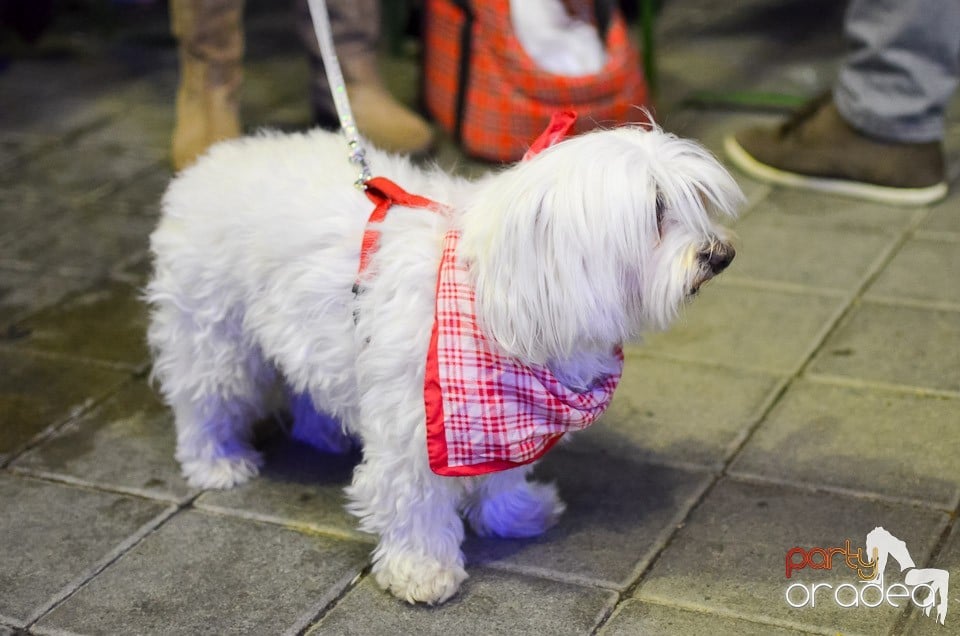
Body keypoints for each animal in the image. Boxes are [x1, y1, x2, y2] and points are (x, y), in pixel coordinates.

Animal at [146, 123, 744, 608]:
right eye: (656, 212)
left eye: (692, 200)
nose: (722, 255)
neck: (496, 293)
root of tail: (210, 161)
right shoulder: (420, 429)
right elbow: (412, 503)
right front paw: (421, 570)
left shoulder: (504, 419)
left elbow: (502, 476)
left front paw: (513, 515)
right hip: (213, 337)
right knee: (203, 401)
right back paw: (216, 461)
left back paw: (321, 433)